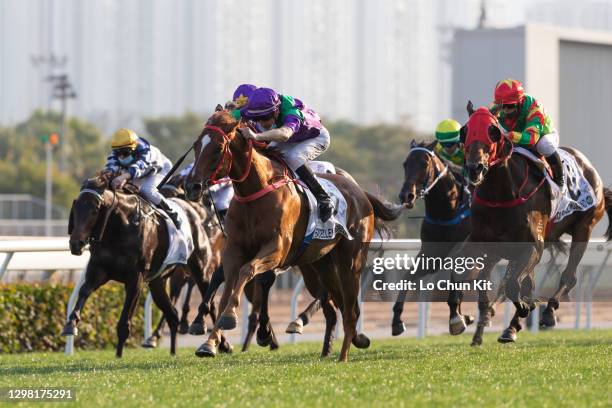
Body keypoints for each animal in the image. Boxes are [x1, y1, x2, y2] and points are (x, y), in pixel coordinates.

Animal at [184, 107, 402, 360]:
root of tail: (360, 192)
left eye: (218, 148)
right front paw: (210, 342)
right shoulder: (234, 251)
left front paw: (232, 319)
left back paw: (343, 355)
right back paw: (348, 341)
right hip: (320, 264)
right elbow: (227, 287)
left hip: (351, 261)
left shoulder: (276, 250)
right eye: (196, 145)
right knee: (335, 302)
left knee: (350, 308)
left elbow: (248, 271)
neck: (255, 192)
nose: (191, 187)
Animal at [454, 106, 612, 344]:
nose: (475, 168)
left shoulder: (532, 246)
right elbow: (467, 275)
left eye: (493, 131)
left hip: (584, 228)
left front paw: (525, 308)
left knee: (569, 276)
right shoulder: (482, 242)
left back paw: (547, 312)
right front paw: (462, 320)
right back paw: (508, 326)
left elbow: (512, 286)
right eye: (464, 131)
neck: (502, 194)